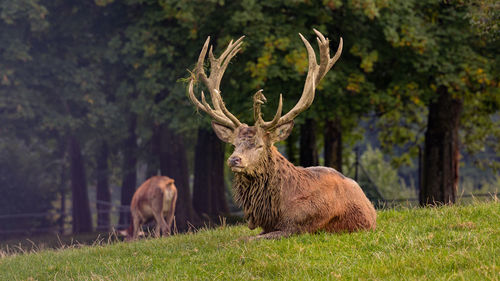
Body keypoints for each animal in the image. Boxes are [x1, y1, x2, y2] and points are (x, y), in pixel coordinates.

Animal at [188, 29, 376, 238]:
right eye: (234, 144)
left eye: (260, 145)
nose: (234, 159)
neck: (277, 209)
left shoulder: (296, 227)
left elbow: (243, 239)